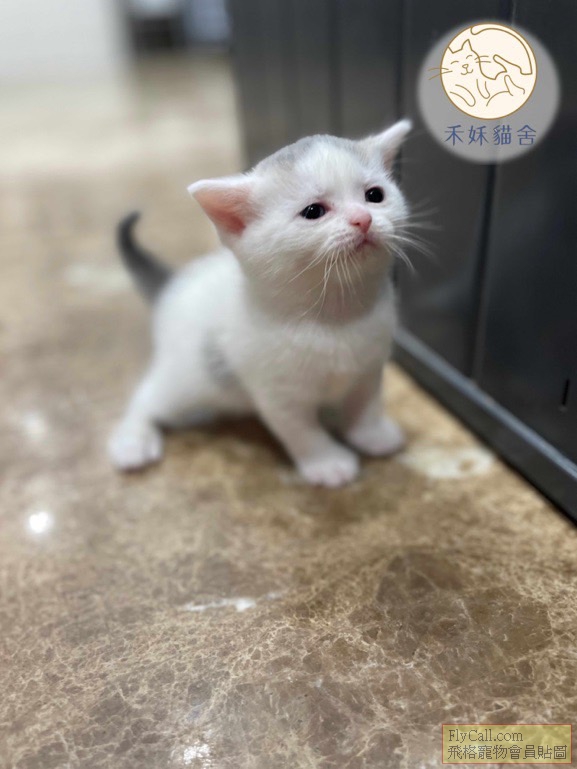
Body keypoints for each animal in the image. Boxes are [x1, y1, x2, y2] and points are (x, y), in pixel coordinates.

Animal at [108, 120, 412, 487]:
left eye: (375, 195)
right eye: (314, 211)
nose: (363, 218)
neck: (336, 315)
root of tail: (173, 285)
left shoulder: (370, 368)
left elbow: (366, 406)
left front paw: (372, 434)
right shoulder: (276, 393)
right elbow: (302, 432)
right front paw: (328, 463)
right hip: (188, 379)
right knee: (147, 397)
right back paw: (133, 441)